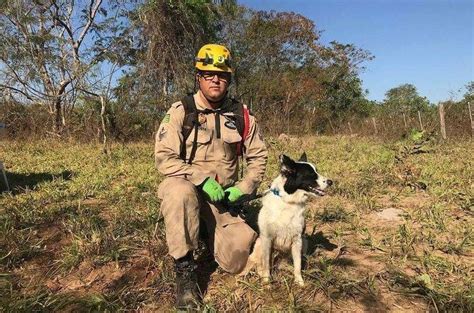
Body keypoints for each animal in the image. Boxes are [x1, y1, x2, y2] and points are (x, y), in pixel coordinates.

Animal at [243, 153, 332, 286]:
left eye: (317, 171)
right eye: (311, 174)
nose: (331, 182)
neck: (288, 202)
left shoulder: (297, 240)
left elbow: (297, 265)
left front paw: (299, 281)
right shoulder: (267, 239)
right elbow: (266, 265)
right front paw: (267, 282)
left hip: (304, 241)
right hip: (259, 243)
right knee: (259, 263)